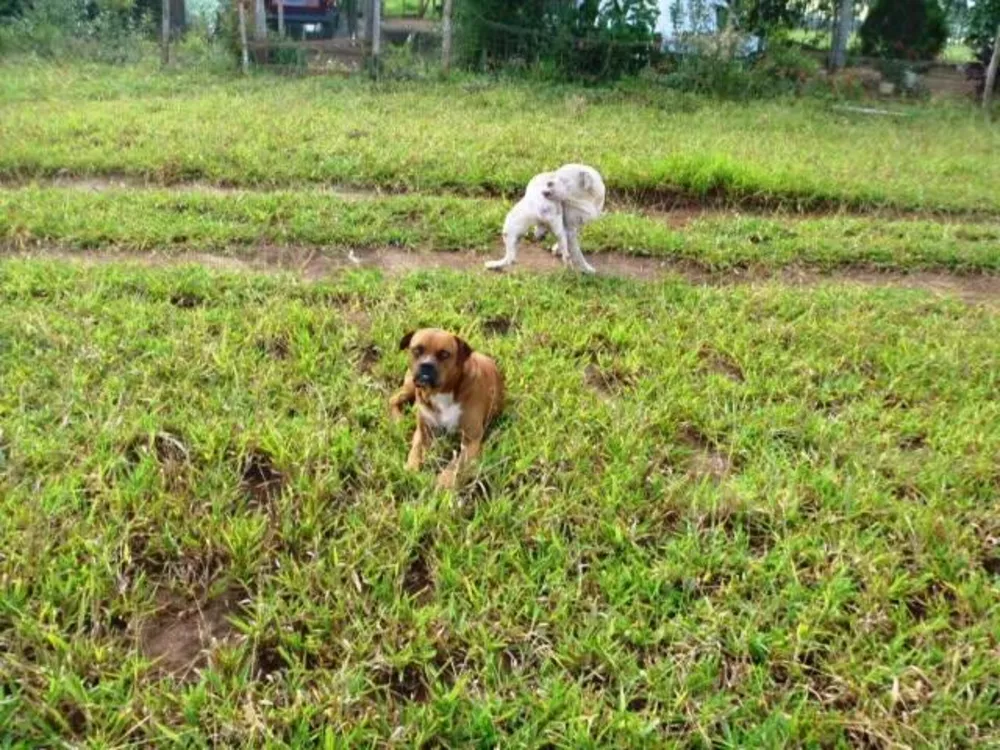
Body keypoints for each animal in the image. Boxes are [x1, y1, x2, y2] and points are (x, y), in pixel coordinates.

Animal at [386, 330, 504, 494]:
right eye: (417, 350)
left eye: (444, 354)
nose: (426, 365)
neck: (441, 392)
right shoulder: (424, 430)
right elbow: (416, 450)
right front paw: (411, 468)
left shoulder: (471, 440)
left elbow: (458, 463)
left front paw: (445, 481)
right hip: (410, 386)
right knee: (393, 399)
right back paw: (399, 421)